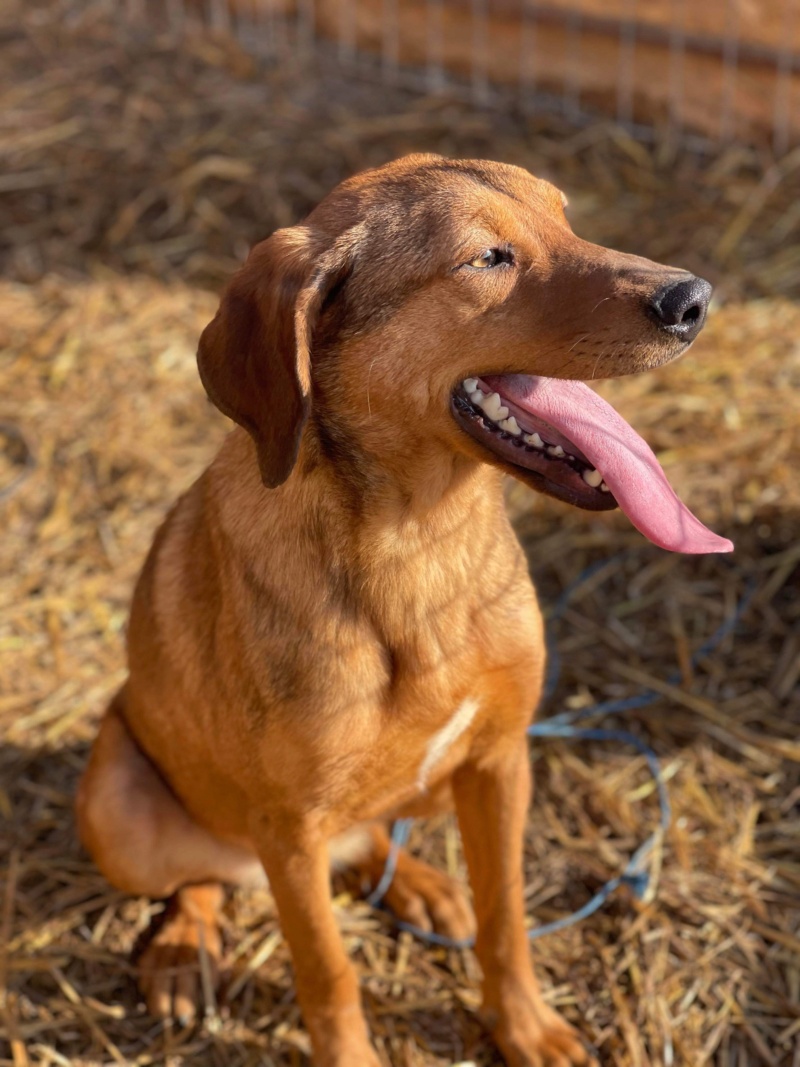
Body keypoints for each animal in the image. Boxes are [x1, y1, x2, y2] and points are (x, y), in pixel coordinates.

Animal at [78, 152, 738, 1067]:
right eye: (488, 257)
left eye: (566, 218)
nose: (694, 298)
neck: (421, 545)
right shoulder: (290, 826)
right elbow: (328, 972)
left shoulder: (499, 757)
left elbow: (506, 917)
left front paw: (523, 1025)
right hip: (120, 805)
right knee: (200, 876)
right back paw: (183, 950)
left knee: (370, 841)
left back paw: (424, 888)